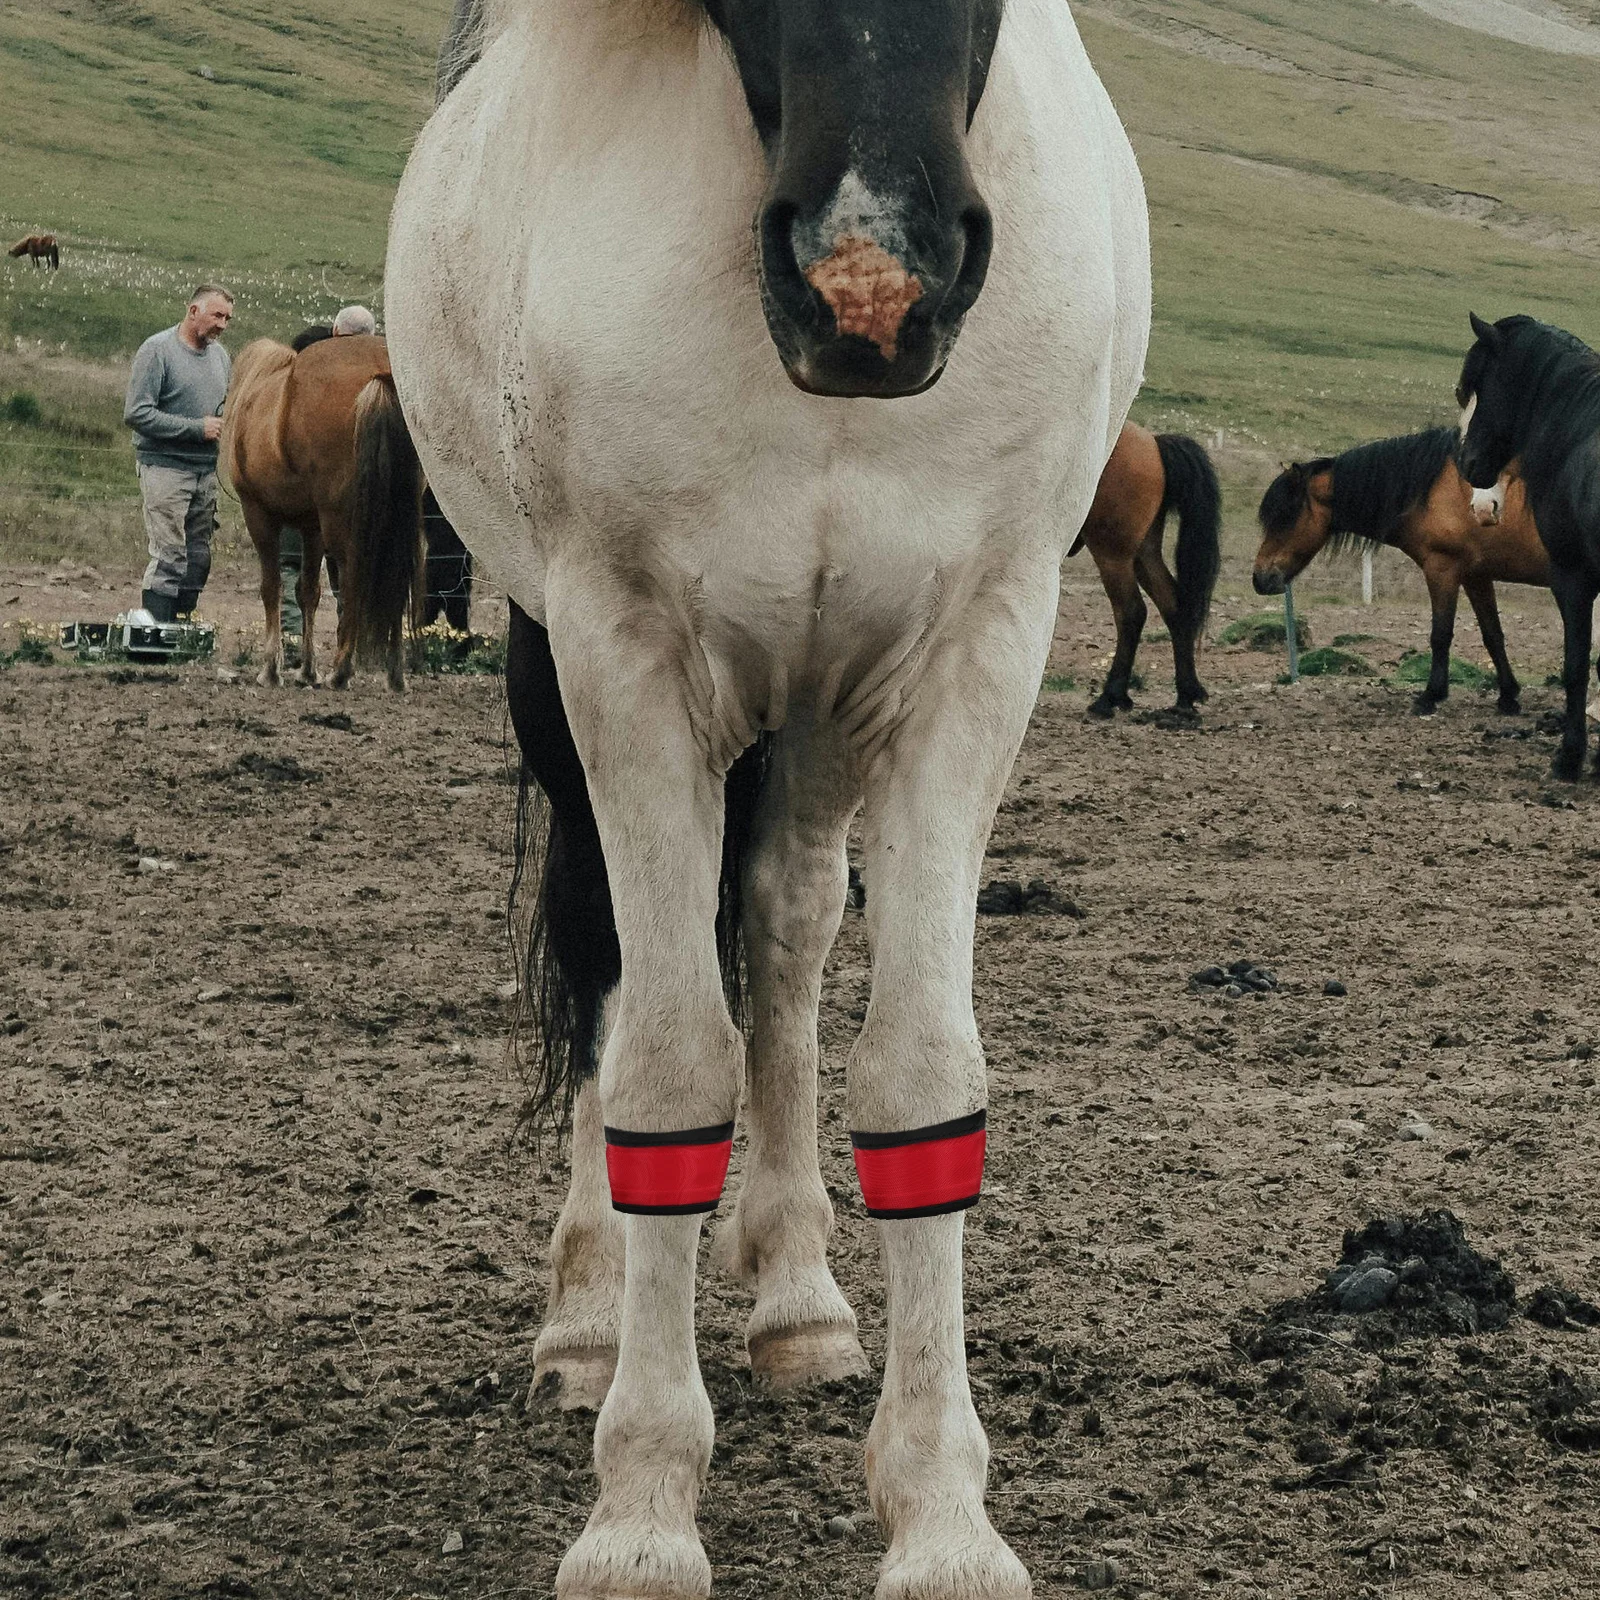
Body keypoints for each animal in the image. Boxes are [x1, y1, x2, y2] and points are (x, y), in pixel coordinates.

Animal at [219, 333, 421, 690]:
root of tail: (381, 372)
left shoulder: (258, 515)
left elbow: (272, 588)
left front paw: (271, 669)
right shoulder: (311, 527)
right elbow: (308, 592)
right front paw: (306, 669)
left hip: (342, 523)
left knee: (354, 575)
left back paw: (341, 670)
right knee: (396, 579)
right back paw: (395, 674)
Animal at [381, 1, 1150, 1595]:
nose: (872, 284)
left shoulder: (973, 654)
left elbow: (919, 1077)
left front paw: (941, 1515)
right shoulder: (623, 657)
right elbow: (671, 1067)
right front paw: (642, 1504)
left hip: (816, 706)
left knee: (789, 931)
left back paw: (798, 1293)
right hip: (564, 673)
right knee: (612, 959)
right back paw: (588, 1318)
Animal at [1070, 422, 1221, 717]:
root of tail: (1153, 441)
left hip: (1113, 555)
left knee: (1131, 612)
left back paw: (1110, 696)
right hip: (1143, 554)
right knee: (1173, 606)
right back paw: (1185, 694)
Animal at [1253, 428, 1549, 715]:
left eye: (1285, 515)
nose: (1260, 579)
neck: (1439, 489)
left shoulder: (1442, 569)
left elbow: (1441, 635)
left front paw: (1430, 696)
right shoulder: (1476, 576)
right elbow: (1492, 635)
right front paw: (1508, 697)